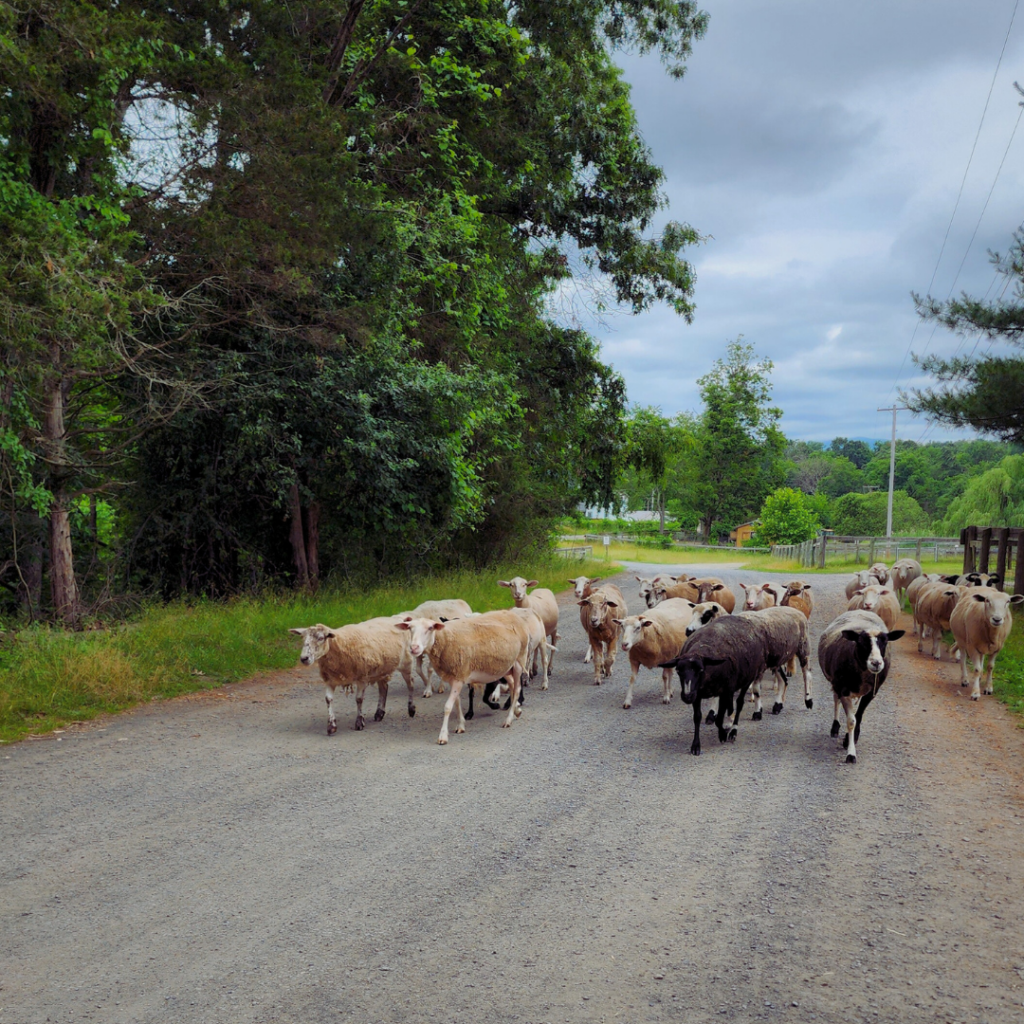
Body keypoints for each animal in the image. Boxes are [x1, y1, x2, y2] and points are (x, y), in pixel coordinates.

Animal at [815, 610, 905, 765]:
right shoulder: (843, 689)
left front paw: (849, 740)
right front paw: (851, 753)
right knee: (835, 698)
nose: (876, 663)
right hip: (836, 683)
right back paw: (835, 727)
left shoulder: (872, 693)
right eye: (861, 642)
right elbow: (851, 721)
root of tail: (862, 610)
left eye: (885, 642)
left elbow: (859, 716)